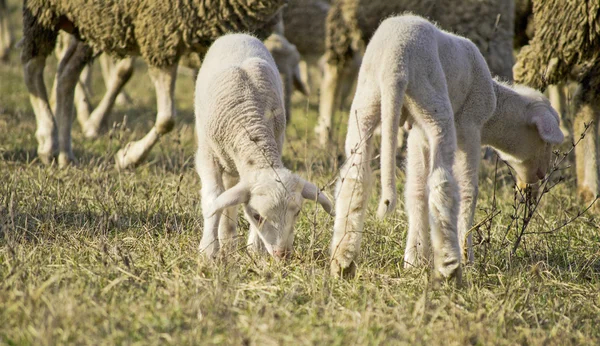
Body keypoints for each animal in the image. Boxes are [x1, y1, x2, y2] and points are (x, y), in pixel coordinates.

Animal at [19, 0, 288, 169]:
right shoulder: (161, 34)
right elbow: (167, 119)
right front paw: (129, 157)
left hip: (91, 22)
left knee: (66, 74)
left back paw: (66, 154)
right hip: (44, 12)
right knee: (33, 68)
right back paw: (48, 140)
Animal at [195, 33, 332, 258]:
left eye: (298, 212)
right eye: (257, 216)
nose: (282, 254)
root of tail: (237, 34)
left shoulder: (277, 139)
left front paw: (255, 250)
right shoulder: (207, 155)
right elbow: (213, 198)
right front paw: (208, 250)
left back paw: (229, 240)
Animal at [330, 16, 564, 280]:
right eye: (545, 142)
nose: (540, 178)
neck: (495, 109)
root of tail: (395, 63)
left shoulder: (417, 135)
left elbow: (415, 191)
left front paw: (414, 258)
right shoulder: (470, 127)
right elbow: (468, 191)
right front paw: (466, 255)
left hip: (367, 101)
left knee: (354, 177)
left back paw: (342, 261)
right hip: (435, 104)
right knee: (442, 183)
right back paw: (449, 265)